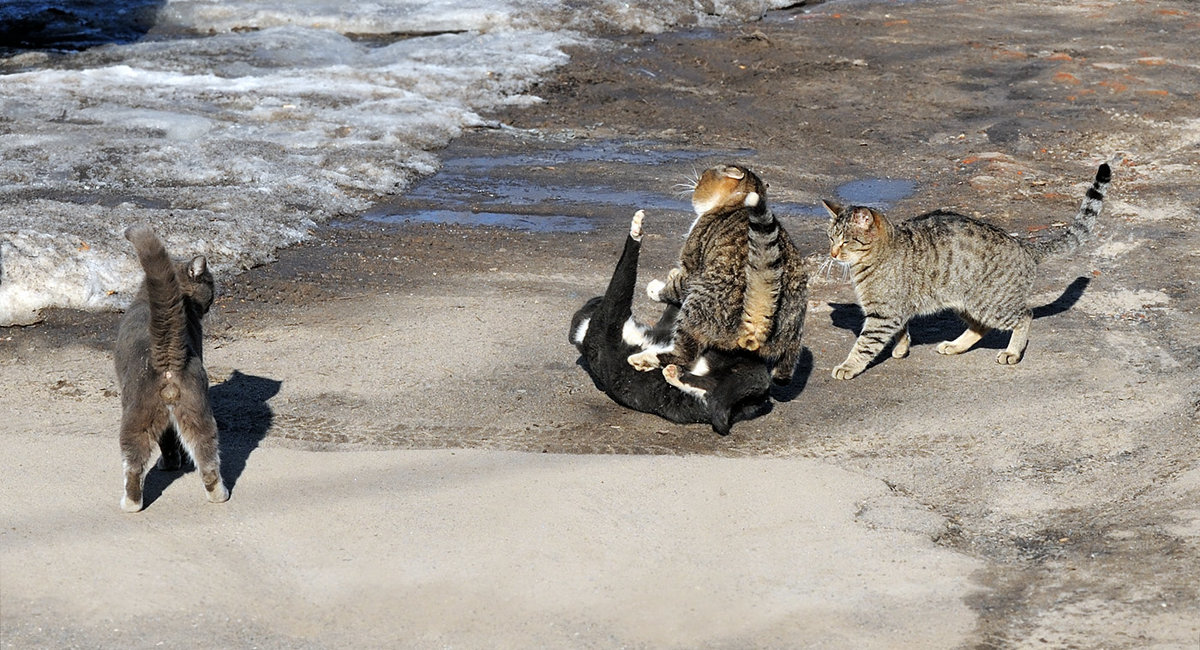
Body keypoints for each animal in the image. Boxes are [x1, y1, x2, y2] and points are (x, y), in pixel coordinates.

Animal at [114, 225, 226, 515]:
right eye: (211, 282)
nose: (215, 294)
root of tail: (166, 358)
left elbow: (166, 441)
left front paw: (170, 464)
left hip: (137, 416)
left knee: (134, 463)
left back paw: (130, 503)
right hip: (198, 411)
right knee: (207, 456)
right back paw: (218, 495)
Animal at [568, 211, 772, 436]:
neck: (584, 332)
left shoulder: (665, 329)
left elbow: (672, 312)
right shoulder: (609, 316)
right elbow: (621, 279)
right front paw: (636, 229)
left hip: (730, 364)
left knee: (713, 389)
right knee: (712, 396)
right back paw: (671, 372)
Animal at [624, 164, 811, 388]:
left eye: (703, 176)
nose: (695, 182)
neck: (736, 203)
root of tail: (757, 323)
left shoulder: (692, 268)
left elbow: (674, 286)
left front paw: (656, 288)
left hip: (695, 303)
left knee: (684, 355)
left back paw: (644, 358)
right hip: (793, 333)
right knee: (786, 367)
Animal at [820, 160, 1108, 381]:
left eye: (844, 241)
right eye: (830, 238)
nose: (832, 253)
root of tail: (1025, 245)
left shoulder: (883, 312)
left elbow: (865, 344)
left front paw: (848, 366)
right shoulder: (893, 309)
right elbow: (901, 330)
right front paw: (901, 349)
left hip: (991, 303)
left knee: (1025, 315)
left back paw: (1012, 352)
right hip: (966, 303)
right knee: (981, 327)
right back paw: (955, 346)